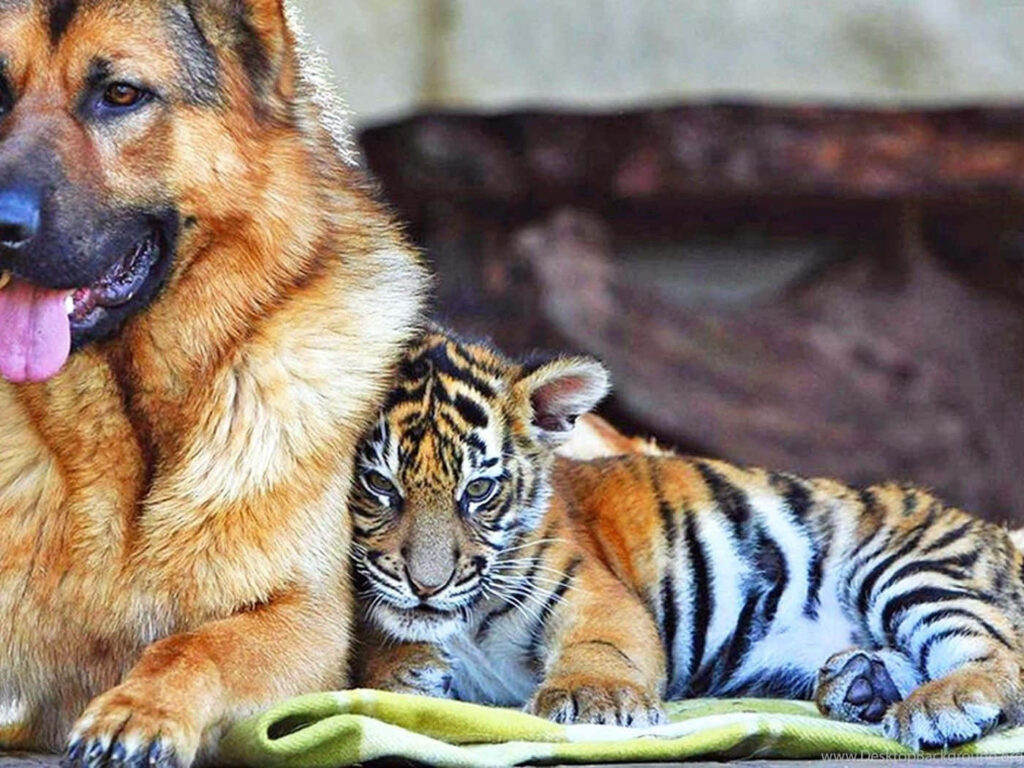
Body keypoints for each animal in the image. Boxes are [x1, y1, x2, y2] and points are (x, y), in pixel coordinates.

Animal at [350, 327, 1024, 750]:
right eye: (380, 485)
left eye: (479, 491)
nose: (427, 586)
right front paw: (404, 667)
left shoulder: (597, 597)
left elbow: (602, 647)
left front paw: (594, 699)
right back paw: (860, 685)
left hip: (905, 568)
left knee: (999, 650)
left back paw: (940, 705)